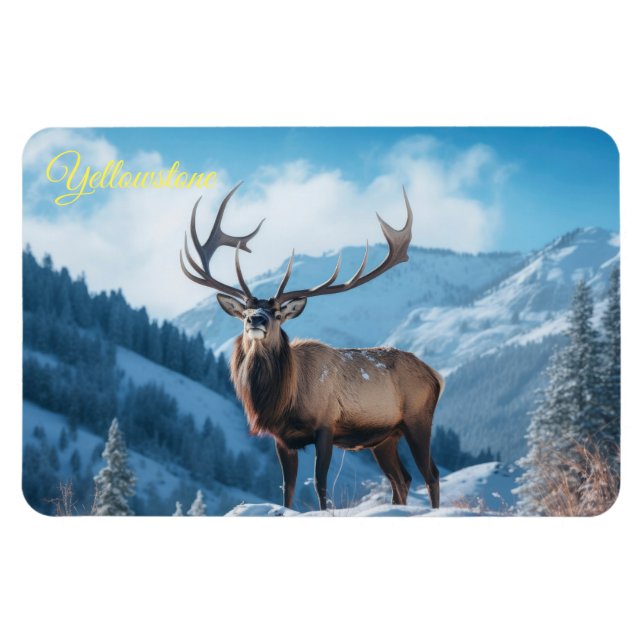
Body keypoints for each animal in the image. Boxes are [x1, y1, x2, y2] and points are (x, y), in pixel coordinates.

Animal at [180, 182, 444, 512]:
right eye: (244, 312)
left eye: (277, 313)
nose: (256, 319)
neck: (283, 398)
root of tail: (436, 376)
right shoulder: (281, 438)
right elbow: (287, 489)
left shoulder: (326, 425)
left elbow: (320, 486)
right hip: (385, 437)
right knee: (402, 478)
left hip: (418, 418)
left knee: (431, 474)